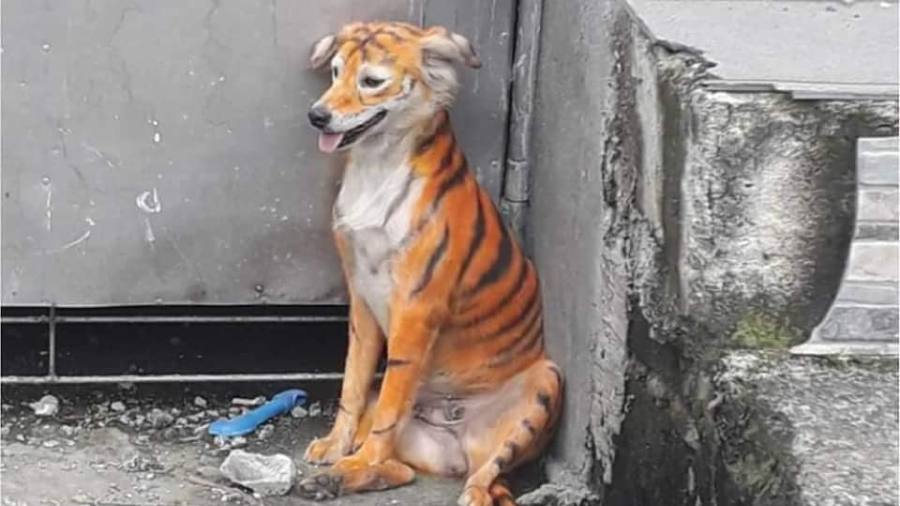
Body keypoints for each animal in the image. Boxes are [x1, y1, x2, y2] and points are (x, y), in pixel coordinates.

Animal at [298, 21, 563, 506]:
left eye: (371, 81)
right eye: (335, 71)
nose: (316, 116)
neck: (376, 165)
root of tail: (458, 439)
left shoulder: (416, 307)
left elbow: (390, 401)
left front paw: (356, 459)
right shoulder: (361, 299)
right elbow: (353, 384)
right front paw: (336, 448)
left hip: (545, 383)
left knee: (486, 477)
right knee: (401, 470)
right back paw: (334, 480)